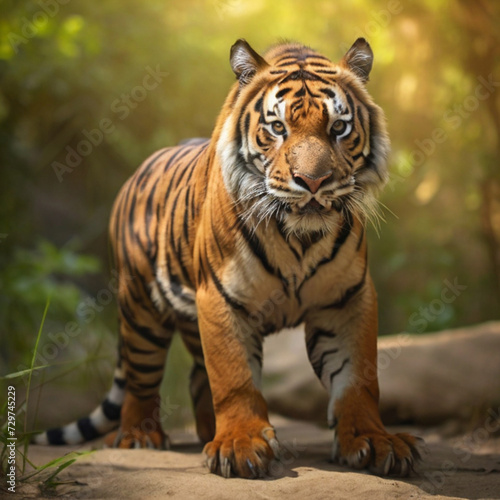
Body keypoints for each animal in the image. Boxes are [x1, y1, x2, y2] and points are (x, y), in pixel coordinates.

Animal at [32, 38, 422, 476]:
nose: (313, 181)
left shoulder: (347, 299)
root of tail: (136, 173)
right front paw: (240, 444)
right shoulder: (220, 296)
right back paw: (138, 437)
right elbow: (234, 376)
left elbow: (358, 378)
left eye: (339, 128)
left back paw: (205, 432)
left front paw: (373, 440)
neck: (299, 240)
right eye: (277, 128)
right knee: (140, 378)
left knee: (195, 378)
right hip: (140, 309)